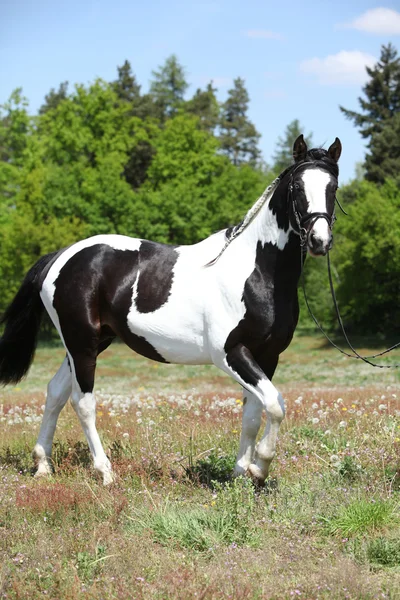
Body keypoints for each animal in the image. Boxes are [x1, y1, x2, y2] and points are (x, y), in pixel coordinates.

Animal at [0, 134, 340, 486]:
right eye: (297, 187)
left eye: (333, 187)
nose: (319, 241)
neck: (256, 271)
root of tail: (61, 256)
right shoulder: (232, 353)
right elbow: (274, 405)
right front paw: (260, 467)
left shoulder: (267, 356)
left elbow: (252, 414)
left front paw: (241, 474)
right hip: (81, 345)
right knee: (82, 402)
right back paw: (105, 472)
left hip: (88, 343)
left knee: (55, 392)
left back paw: (43, 465)